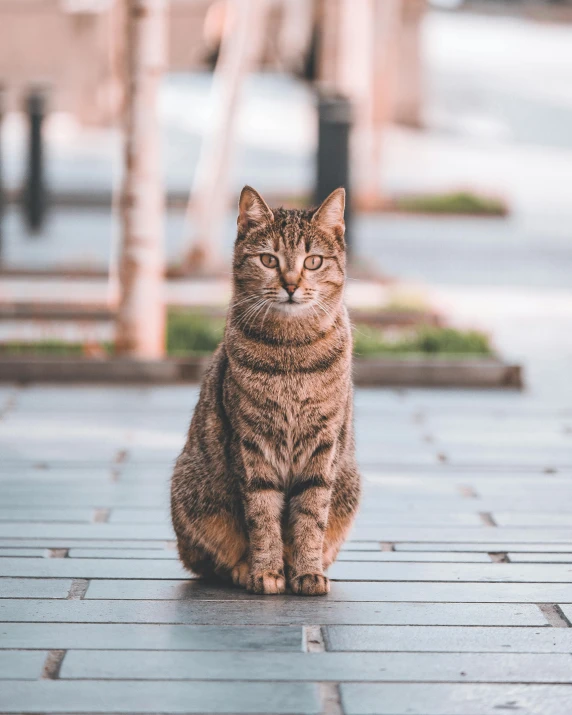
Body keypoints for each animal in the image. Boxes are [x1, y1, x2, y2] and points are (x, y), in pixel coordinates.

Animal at [169, 186, 362, 600]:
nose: (290, 284)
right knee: (211, 562)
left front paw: (306, 570)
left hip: (349, 485)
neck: (291, 352)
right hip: (194, 491)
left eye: (313, 261)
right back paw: (244, 568)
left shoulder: (323, 445)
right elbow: (262, 516)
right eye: (269, 260)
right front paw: (267, 570)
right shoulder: (251, 444)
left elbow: (310, 517)